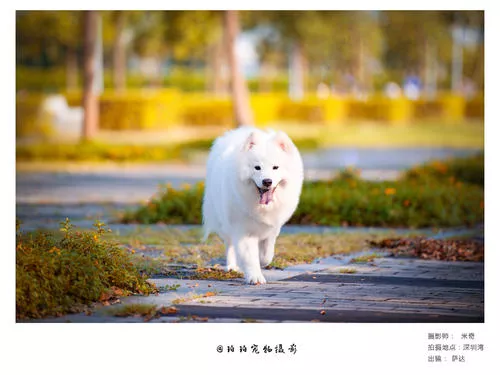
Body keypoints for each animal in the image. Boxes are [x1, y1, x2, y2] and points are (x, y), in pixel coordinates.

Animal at [201, 126, 302, 284]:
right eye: (257, 167)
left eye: (275, 167)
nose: (267, 181)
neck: (261, 207)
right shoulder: (243, 230)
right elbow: (249, 256)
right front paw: (255, 277)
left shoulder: (272, 228)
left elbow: (267, 253)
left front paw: (262, 261)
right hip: (224, 223)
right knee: (229, 244)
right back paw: (232, 266)